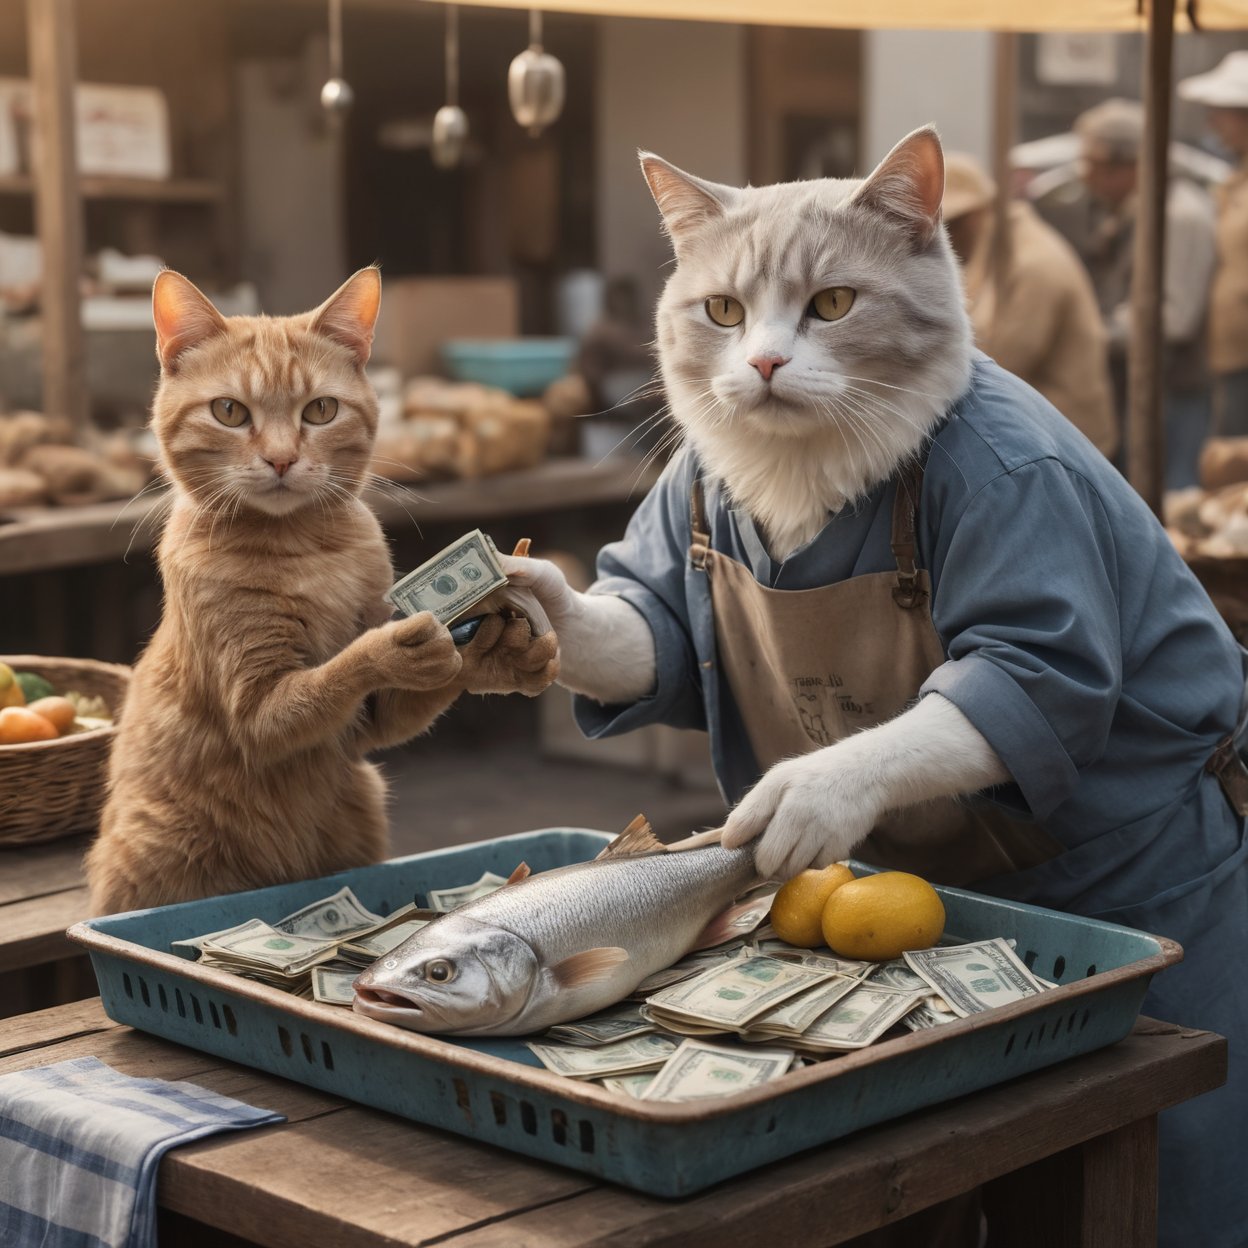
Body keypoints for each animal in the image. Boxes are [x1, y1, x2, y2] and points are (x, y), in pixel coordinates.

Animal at [87, 270, 556, 918]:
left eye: (321, 410)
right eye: (229, 412)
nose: (282, 459)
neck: (307, 549)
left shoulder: (364, 729)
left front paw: (496, 650)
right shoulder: (258, 709)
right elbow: (332, 675)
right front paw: (397, 646)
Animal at [506, 124, 1003, 868]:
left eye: (833, 304)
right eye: (723, 311)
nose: (765, 363)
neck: (799, 468)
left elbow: (971, 708)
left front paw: (807, 794)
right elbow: (646, 633)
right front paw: (520, 595)